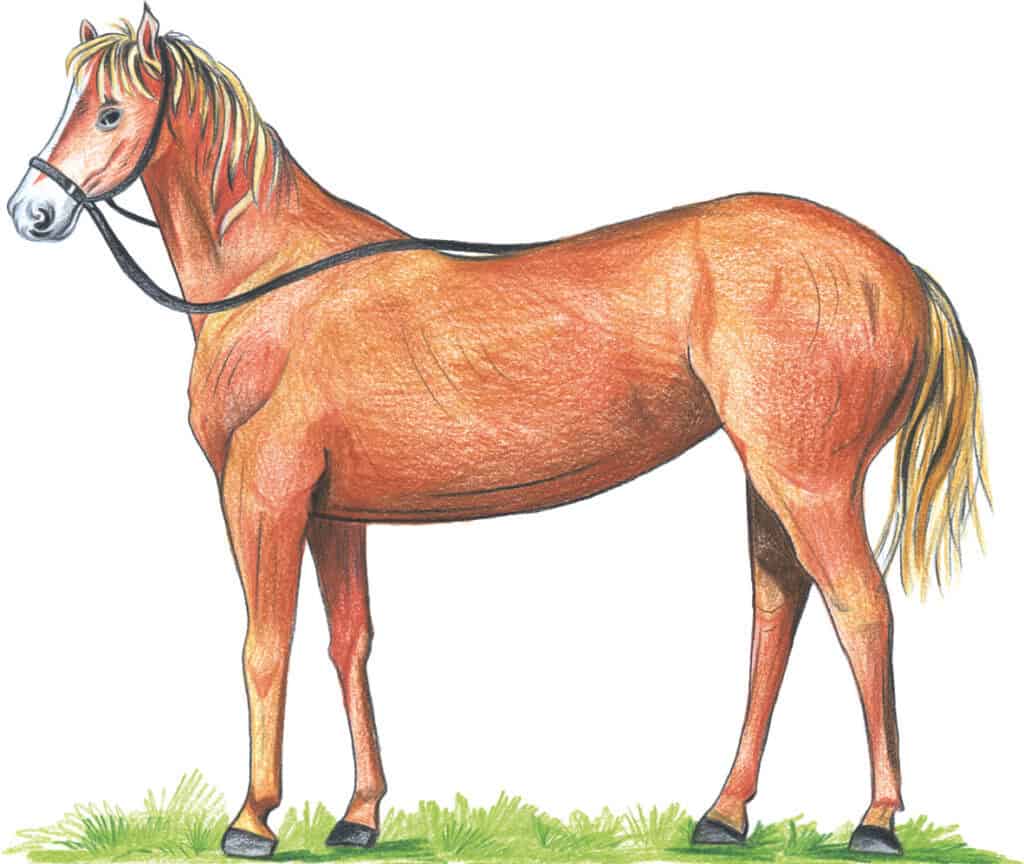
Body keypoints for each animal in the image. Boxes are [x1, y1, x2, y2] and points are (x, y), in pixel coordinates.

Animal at [8, 7, 989, 859]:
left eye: (110, 109)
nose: (33, 211)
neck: (279, 284)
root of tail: (899, 269)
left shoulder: (265, 496)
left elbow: (265, 649)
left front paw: (252, 820)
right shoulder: (335, 515)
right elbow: (348, 644)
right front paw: (359, 815)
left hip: (810, 481)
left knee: (861, 610)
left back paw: (876, 821)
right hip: (767, 480)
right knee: (777, 611)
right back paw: (724, 812)